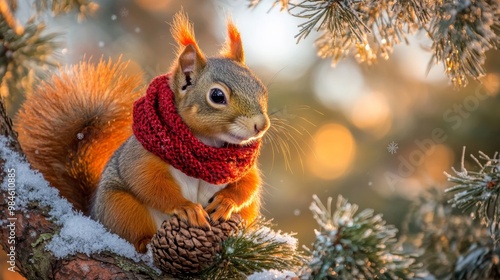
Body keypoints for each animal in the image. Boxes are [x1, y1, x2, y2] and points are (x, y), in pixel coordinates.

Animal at [16, 10, 270, 253]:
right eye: (217, 96)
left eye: (262, 89)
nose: (261, 125)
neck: (207, 144)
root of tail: (93, 212)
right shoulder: (143, 156)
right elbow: (149, 182)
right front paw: (186, 207)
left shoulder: (242, 168)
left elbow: (249, 184)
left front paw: (226, 201)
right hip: (121, 207)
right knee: (133, 230)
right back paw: (145, 244)